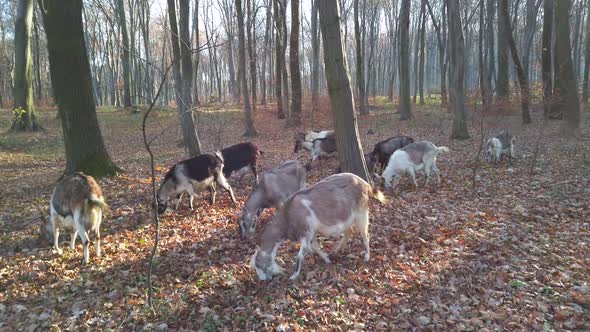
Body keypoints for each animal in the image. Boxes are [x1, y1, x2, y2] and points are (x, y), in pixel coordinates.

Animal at [250, 172, 388, 282]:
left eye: (259, 265)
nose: (263, 280)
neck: (288, 214)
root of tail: (365, 184)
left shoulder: (306, 233)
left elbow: (300, 255)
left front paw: (293, 276)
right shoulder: (312, 233)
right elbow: (315, 247)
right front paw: (327, 259)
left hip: (362, 213)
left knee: (365, 235)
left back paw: (367, 256)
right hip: (346, 218)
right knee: (349, 232)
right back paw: (337, 250)